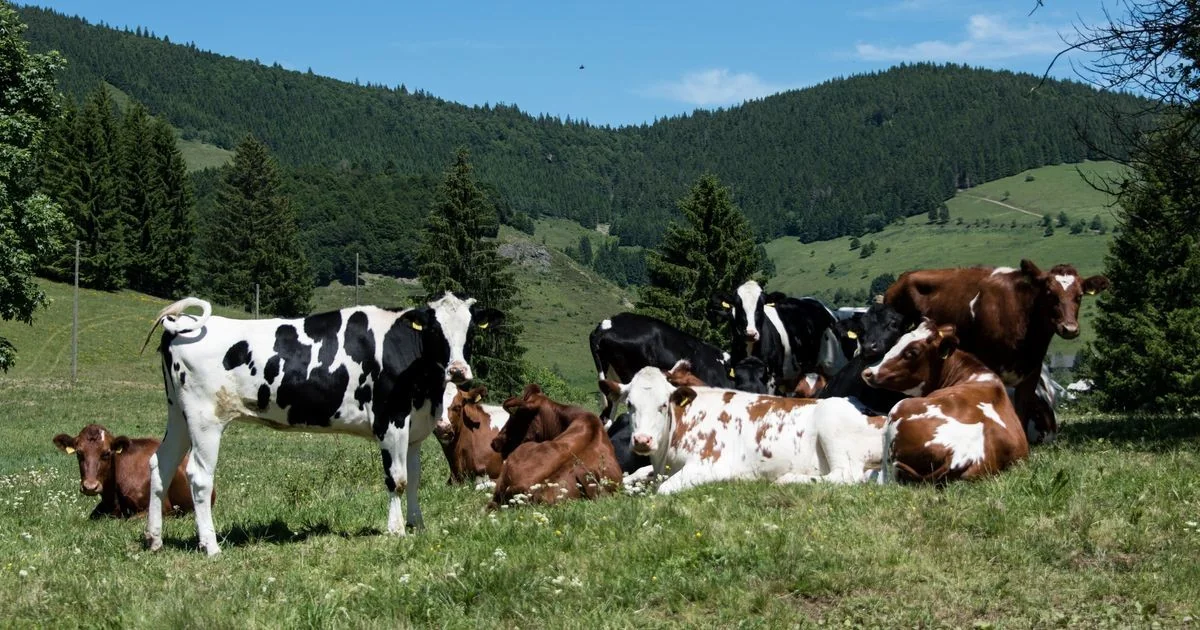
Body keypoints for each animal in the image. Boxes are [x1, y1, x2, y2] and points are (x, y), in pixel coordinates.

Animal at [142, 292, 501, 556]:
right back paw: (211, 546)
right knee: (199, 476)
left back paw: (154, 540)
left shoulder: (414, 429)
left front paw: (417, 526)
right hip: (206, 418)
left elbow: (413, 480)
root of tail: (183, 324)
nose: (458, 370)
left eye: (470, 330)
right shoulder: (390, 420)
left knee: (161, 465)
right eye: (434, 330)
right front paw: (396, 530)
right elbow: (397, 480)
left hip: (179, 415)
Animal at [602, 367, 884, 494]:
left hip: (831, 421)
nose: (642, 440)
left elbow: (663, 489)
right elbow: (637, 473)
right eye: (630, 404)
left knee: (845, 475)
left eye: (663, 405)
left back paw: (787, 479)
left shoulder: (710, 465)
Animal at [862, 320, 1029, 483]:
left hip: (898, 410)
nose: (868, 372)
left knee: (886, 478)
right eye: (898, 341)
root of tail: (961, 455)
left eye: (912, 353)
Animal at [885, 260, 1108, 443]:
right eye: (1050, 294)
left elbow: (1021, 411)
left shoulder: (1032, 371)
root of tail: (904, 277)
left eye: (1079, 296)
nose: (1069, 328)